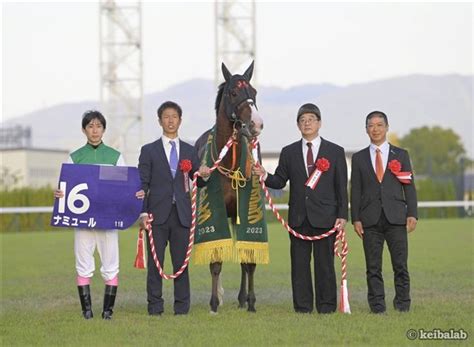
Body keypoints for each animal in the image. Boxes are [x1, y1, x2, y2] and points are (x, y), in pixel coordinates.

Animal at [194, 61, 264, 314]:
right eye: (234, 93)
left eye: (254, 92)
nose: (256, 124)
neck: (230, 163)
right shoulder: (218, 212)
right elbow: (216, 260)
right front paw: (214, 302)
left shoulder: (242, 211)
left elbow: (248, 259)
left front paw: (251, 301)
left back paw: (242, 298)